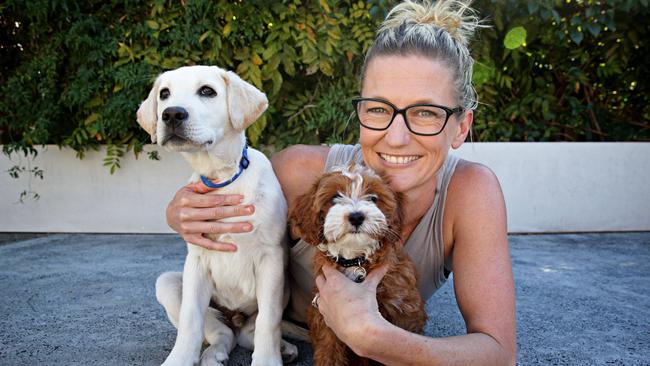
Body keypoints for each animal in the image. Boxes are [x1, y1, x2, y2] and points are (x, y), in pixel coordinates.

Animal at [138, 66, 298, 366]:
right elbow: (190, 320)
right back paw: (214, 354)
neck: (222, 178)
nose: (172, 114)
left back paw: (282, 347)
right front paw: (179, 359)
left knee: (247, 333)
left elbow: (268, 322)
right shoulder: (197, 262)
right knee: (221, 332)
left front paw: (268, 359)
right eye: (164, 94)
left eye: (207, 91)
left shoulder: (271, 259)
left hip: (284, 288)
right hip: (169, 283)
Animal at [288, 164, 426, 366]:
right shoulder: (326, 314)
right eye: (334, 198)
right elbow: (328, 350)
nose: (356, 216)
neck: (355, 258)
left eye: (373, 198)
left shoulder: (403, 309)